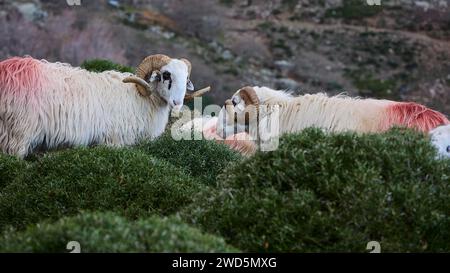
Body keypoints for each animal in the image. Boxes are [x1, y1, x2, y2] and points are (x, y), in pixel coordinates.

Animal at [0, 54, 211, 156]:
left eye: (186, 78)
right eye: (166, 75)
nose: (177, 103)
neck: (140, 98)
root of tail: (7, 70)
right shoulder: (113, 142)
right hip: (17, 134)